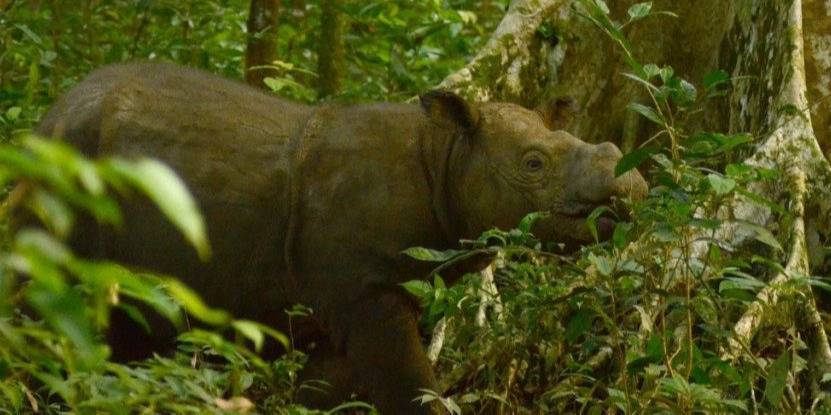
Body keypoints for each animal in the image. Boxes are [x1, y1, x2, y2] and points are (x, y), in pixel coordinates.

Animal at [37, 62, 647, 414]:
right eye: (533, 163)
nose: (633, 184)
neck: (445, 155)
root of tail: (47, 118)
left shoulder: (360, 293)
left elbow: (325, 396)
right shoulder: (367, 287)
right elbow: (413, 390)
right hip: (64, 169)